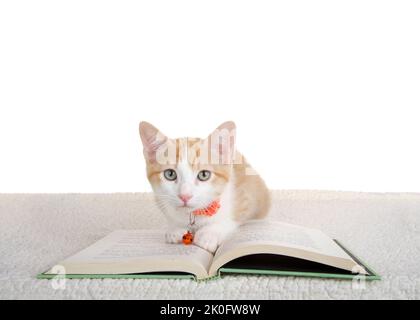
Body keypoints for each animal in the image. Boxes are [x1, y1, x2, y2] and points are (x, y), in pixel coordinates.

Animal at [139, 120, 270, 252]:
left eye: (204, 175)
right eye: (170, 174)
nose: (185, 196)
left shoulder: (248, 194)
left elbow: (235, 217)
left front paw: (209, 234)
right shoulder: (161, 199)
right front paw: (175, 229)